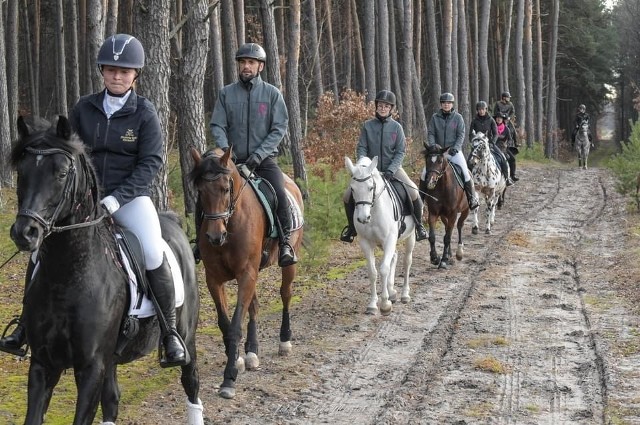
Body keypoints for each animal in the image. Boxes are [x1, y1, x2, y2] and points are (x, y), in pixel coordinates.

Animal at [7, 116, 202, 424]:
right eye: (22, 171)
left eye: (62, 173)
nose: (25, 232)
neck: (68, 277)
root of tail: (172, 223)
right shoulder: (43, 365)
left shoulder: (91, 367)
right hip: (111, 359)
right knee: (112, 400)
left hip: (187, 336)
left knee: (191, 382)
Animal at [189, 147, 304, 400]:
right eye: (200, 191)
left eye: (225, 188)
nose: (215, 236)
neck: (231, 225)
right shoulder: (214, 279)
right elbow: (225, 324)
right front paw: (239, 359)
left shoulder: (246, 274)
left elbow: (234, 326)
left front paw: (229, 378)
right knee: (254, 306)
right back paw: (251, 353)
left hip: (287, 264)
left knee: (285, 294)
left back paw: (284, 341)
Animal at [344, 156, 416, 314]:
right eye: (352, 189)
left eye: (371, 187)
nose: (363, 218)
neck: (374, 211)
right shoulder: (365, 242)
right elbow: (372, 272)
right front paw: (372, 304)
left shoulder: (389, 239)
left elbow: (383, 269)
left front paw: (384, 304)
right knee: (394, 256)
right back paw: (392, 292)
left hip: (410, 236)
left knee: (407, 261)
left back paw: (404, 294)